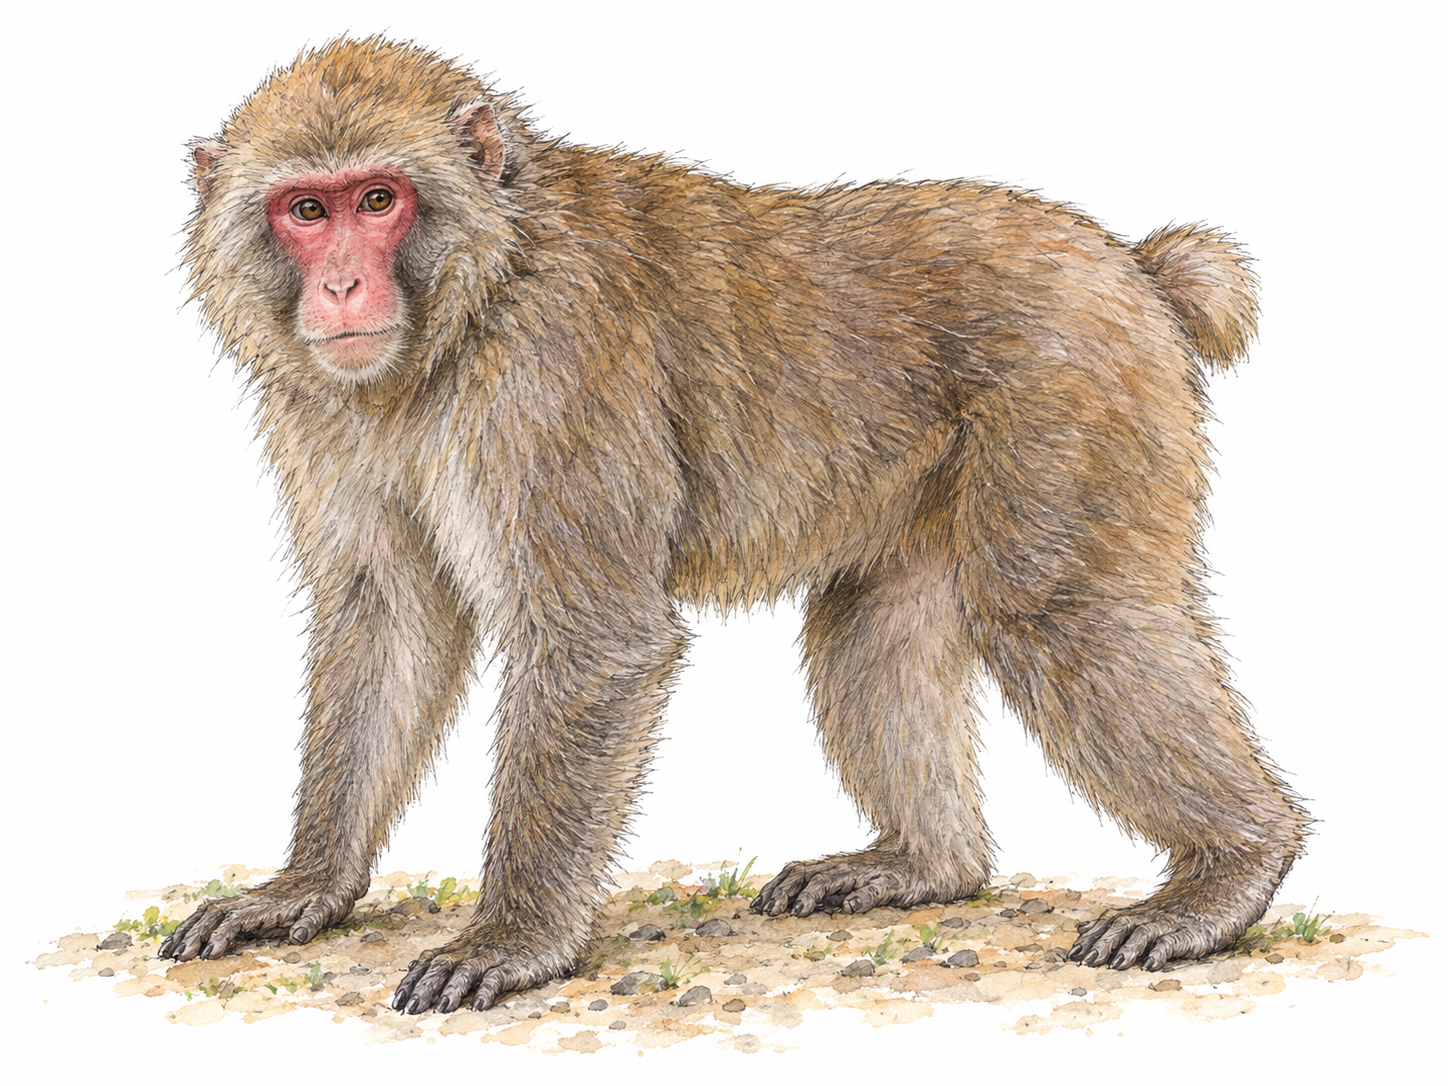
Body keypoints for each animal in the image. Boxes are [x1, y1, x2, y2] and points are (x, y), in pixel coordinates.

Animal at [160, 37, 1309, 1016]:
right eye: (305, 209)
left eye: (379, 199)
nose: (341, 285)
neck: (479, 295)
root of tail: (1131, 264)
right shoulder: (325, 413)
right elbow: (391, 621)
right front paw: (305, 887)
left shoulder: (554, 374)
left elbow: (597, 643)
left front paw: (514, 939)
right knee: (871, 632)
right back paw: (927, 866)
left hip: (1079, 391)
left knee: (1055, 610)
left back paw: (1232, 870)